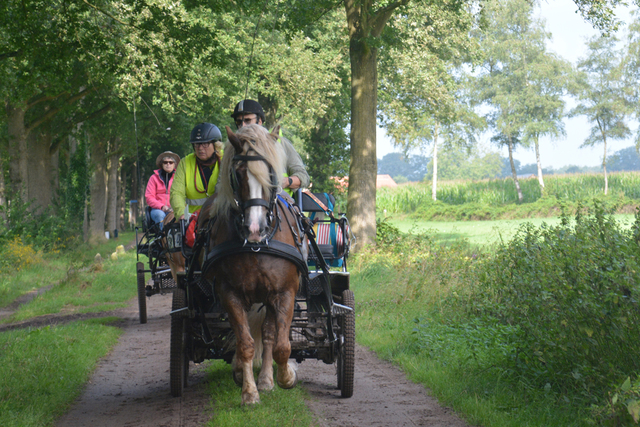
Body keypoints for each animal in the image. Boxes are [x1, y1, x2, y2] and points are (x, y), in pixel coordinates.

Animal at [201, 123, 308, 404]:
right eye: (238, 174)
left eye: (271, 174)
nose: (255, 228)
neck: (257, 245)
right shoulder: (230, 294)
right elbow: (246, 342)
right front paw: (249, 392)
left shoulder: (285, 292)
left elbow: (281, 345)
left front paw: (285, 377)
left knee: (269, 335)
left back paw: (267, 379)